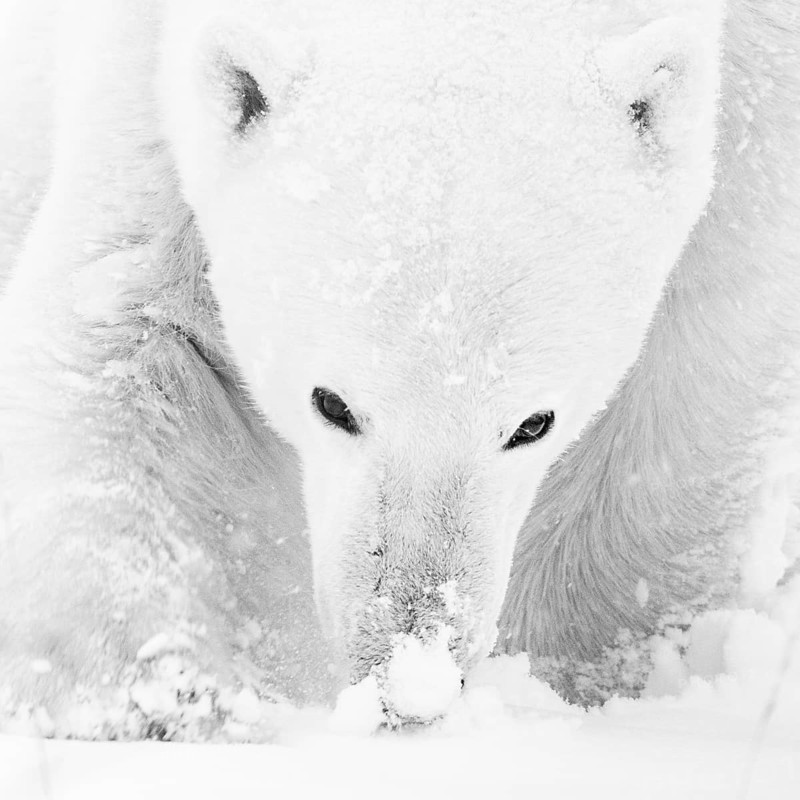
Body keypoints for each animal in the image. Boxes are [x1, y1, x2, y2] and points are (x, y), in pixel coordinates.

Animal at [0, 0, 798, 736]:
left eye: (533, 423)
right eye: (331, 403)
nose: (408, 679)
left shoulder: (763, 93)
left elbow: (693, 360)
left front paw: (572, 681)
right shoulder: (138, 62)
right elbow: (125, 316)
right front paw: (144, 702)